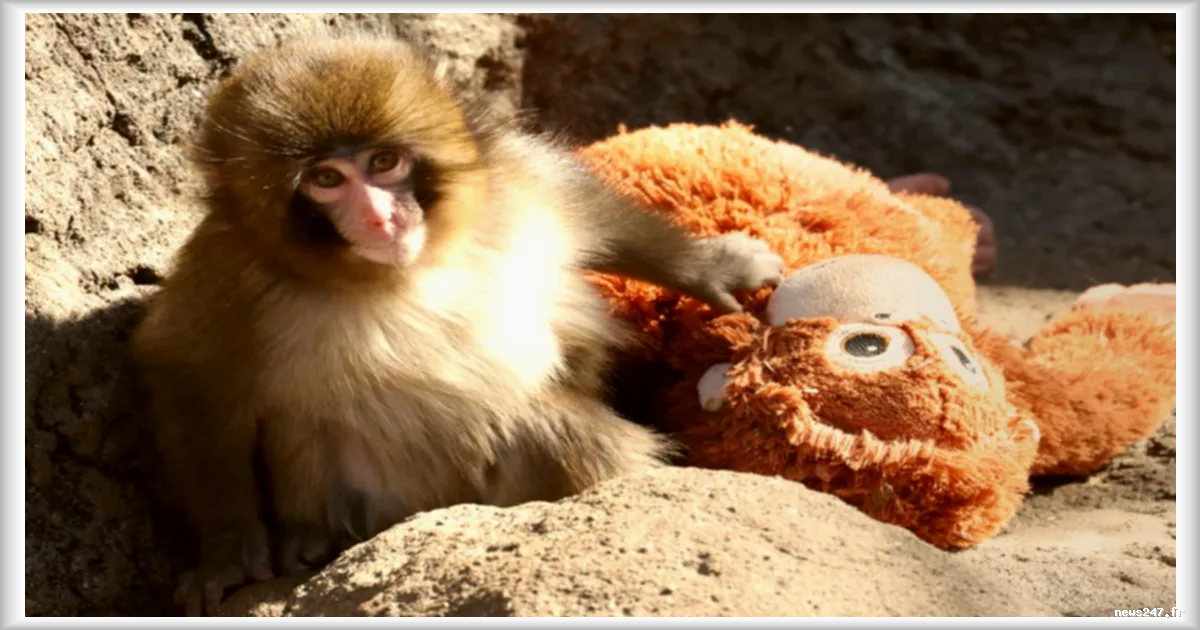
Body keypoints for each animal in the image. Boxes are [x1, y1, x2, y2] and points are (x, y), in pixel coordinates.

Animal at [130, 33, 783, 616]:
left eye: (384, 162)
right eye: (327, 179)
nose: (380, 216)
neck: (406, 270)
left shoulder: (511, 184)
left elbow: (589, 212)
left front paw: (711, 267)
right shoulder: (229, 276)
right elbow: (190, 376)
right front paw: (226, 552)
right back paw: (310, 541)